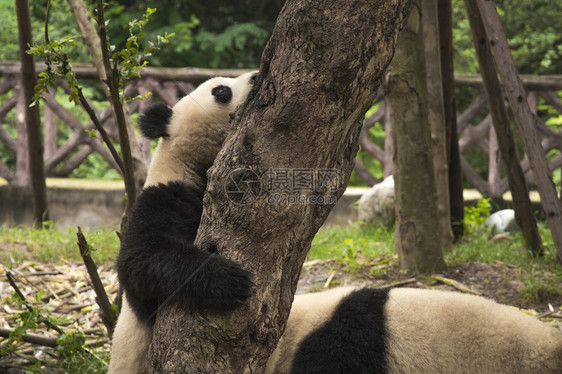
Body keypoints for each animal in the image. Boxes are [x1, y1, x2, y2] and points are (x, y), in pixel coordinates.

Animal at [108, 71, 258, 374]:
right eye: (221, 91)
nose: (256, 76)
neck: (186, 162)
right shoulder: (161, 199)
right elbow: (139, 260)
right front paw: (229, 279)